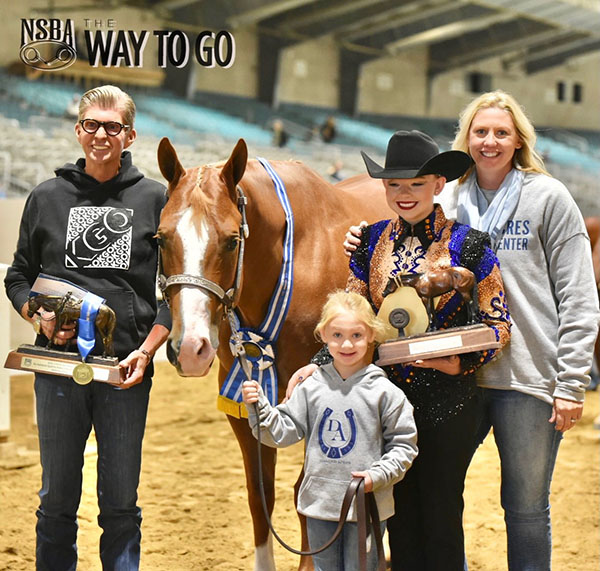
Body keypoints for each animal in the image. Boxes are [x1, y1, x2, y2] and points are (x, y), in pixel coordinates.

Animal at [155, 137, 391, 571]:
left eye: (232, 240)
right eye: (161, 238)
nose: (191, 349)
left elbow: (305, 494)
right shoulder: (243, 398)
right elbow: (259, 492)